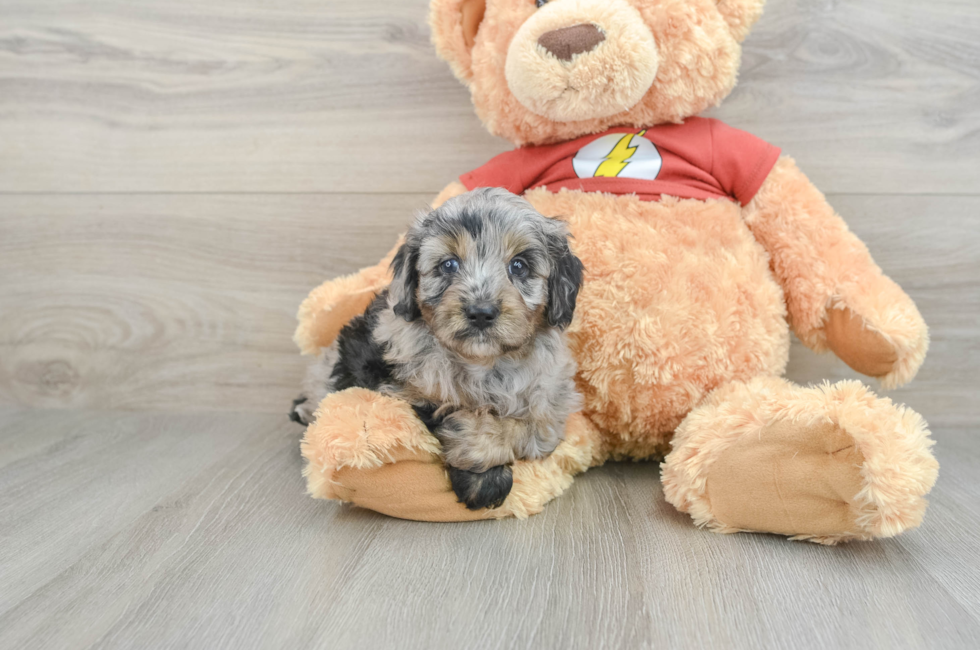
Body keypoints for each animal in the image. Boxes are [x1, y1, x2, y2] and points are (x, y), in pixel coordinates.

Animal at [290, 187, 580, 512]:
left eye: (519, 265)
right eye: (448, 265)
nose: (481, 312)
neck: (484, 363)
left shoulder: (551, 405)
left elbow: (532, 429)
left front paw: (477, 451)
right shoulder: (393, 382)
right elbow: (439, 406)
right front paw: (483, 478)